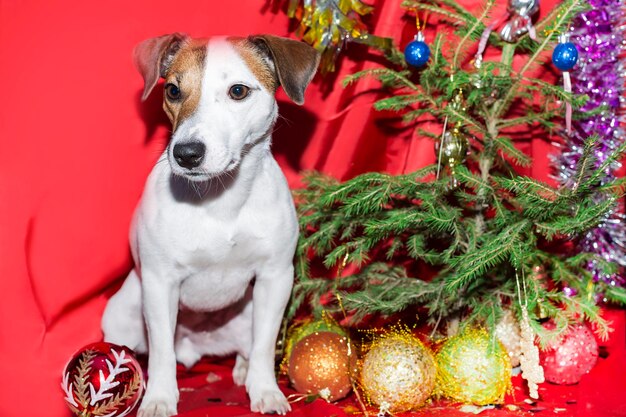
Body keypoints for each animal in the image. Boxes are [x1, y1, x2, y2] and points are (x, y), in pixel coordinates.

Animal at [102, 33, 320, 416]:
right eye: (173, 90)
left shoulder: (276, 278)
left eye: (238, 91)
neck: (220, 200)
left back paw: (244, 371)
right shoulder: (158, 284)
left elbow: (264, 345)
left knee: (248, 348)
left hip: (247, 314)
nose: (186, 153)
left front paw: (265, 390)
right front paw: (159, 398)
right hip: (122, 313)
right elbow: (161, 351)